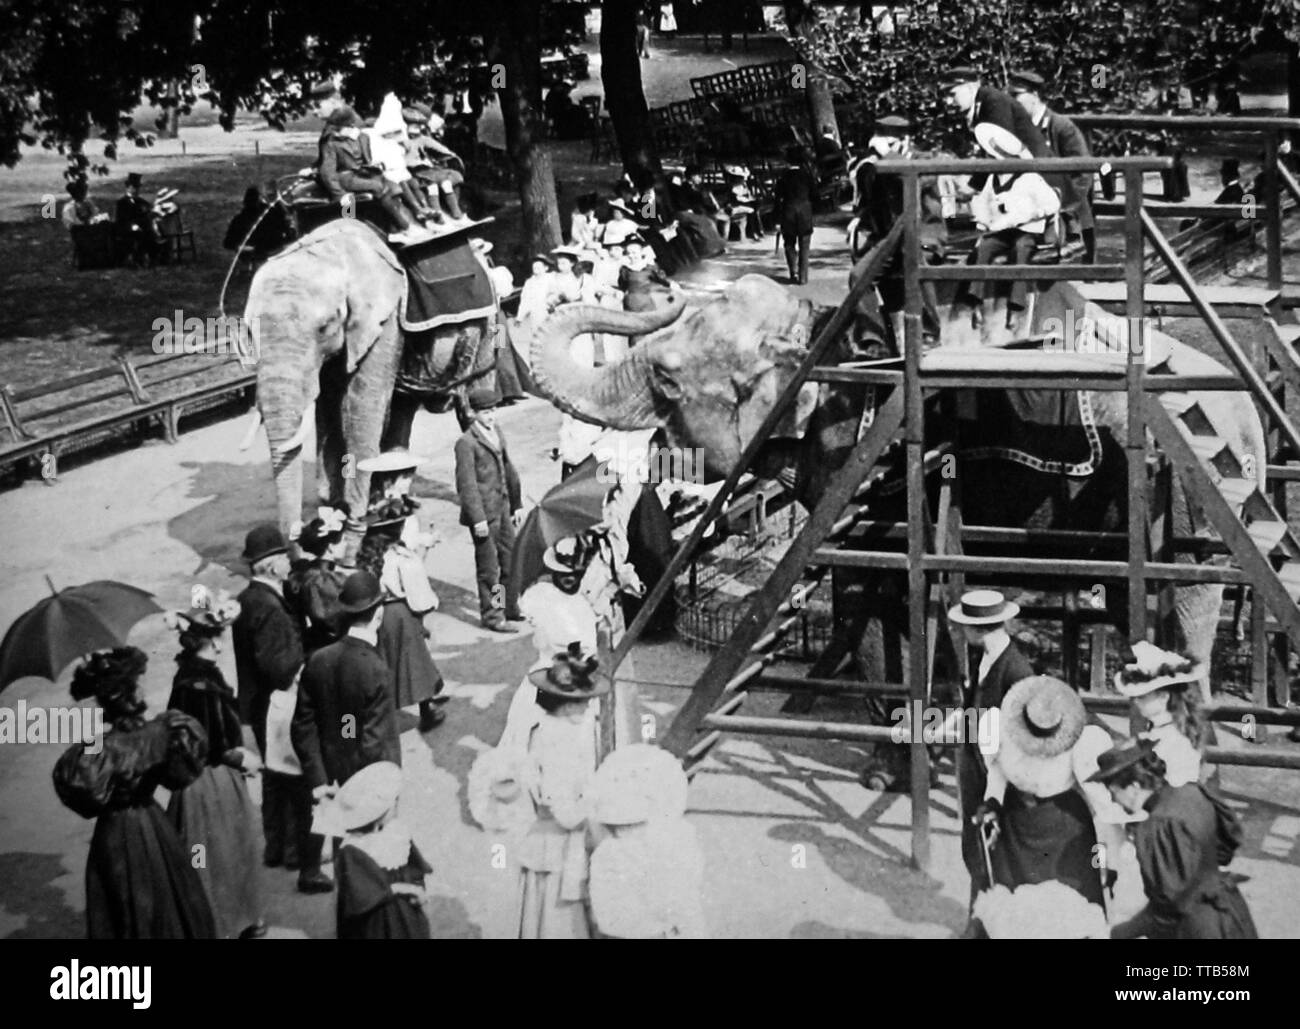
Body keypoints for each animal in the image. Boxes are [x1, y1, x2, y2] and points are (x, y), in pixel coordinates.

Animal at [241, 218, 499, 537]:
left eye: (324, 327)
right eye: (248, 334)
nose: (298, 537)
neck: (329, 253)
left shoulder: (383, 323)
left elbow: (359, 406)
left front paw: (354, 517)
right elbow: (328, 411)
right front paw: (333, 513)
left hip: (488, 326)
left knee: (473, 397)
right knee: (403, 407)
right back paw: (394, 500)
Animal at [527, 272, 1268, 706]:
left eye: (669, 378)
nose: (648, 281)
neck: (820, 332)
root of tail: (1251, 416)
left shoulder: (864, 462)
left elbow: (874, 585)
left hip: (1195, 507)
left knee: (1188, 615)